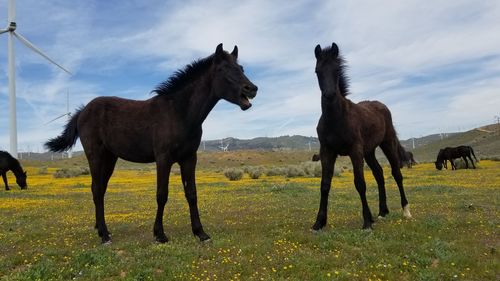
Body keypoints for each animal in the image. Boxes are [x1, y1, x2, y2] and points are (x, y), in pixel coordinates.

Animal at [44, 43, 258, 243]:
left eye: (241, 68)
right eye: (223, 69)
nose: (252, 89)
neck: (179, 113)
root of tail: (82, 111)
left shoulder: (189, 158)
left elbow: (192, 193)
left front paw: (200, 233)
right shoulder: (163, 158)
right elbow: (161, 194)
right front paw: (159, 234)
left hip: (110, 158)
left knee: (100, 189)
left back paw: (101, 229)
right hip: (95, 155)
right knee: (97, 190)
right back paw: (104, 236)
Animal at [310, 42, 412, 230]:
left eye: (337, 69)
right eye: (317, 71)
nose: (329, 95)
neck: (336, 118)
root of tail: (382, 105)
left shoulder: (355, 151)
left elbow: (360, 183)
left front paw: (366, 222)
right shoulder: (327, 151)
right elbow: (325, 185)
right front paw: (319, 222)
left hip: (387, 144)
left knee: (396, 174)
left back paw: (406, 211)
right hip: (369, 151)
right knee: (379, 174)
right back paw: (382, 212)